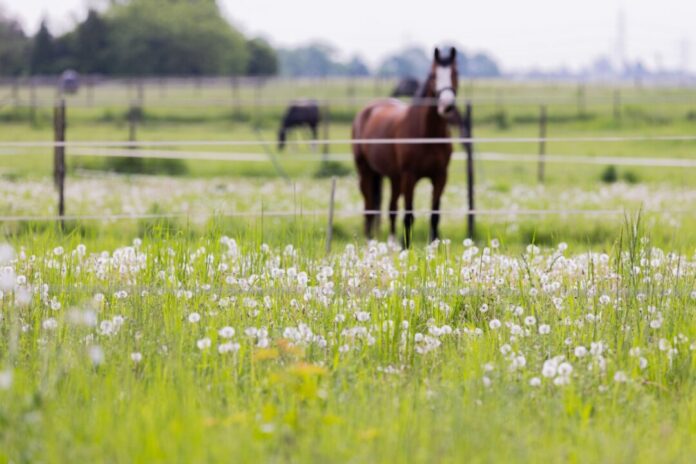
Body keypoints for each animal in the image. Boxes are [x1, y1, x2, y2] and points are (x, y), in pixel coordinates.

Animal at [352, 47, 458, 247]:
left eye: (455, 73)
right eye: (433, 75)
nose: (447, 105)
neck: (427, 135)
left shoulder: (440, 177)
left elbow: (434, 216)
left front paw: (433, 246)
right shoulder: (410, 176)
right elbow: (408, 215)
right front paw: (406, 247)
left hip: (393, 177)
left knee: (391, 207)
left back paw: (392, 242)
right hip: (366, 172)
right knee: (369, 206)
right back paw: (370, 241)